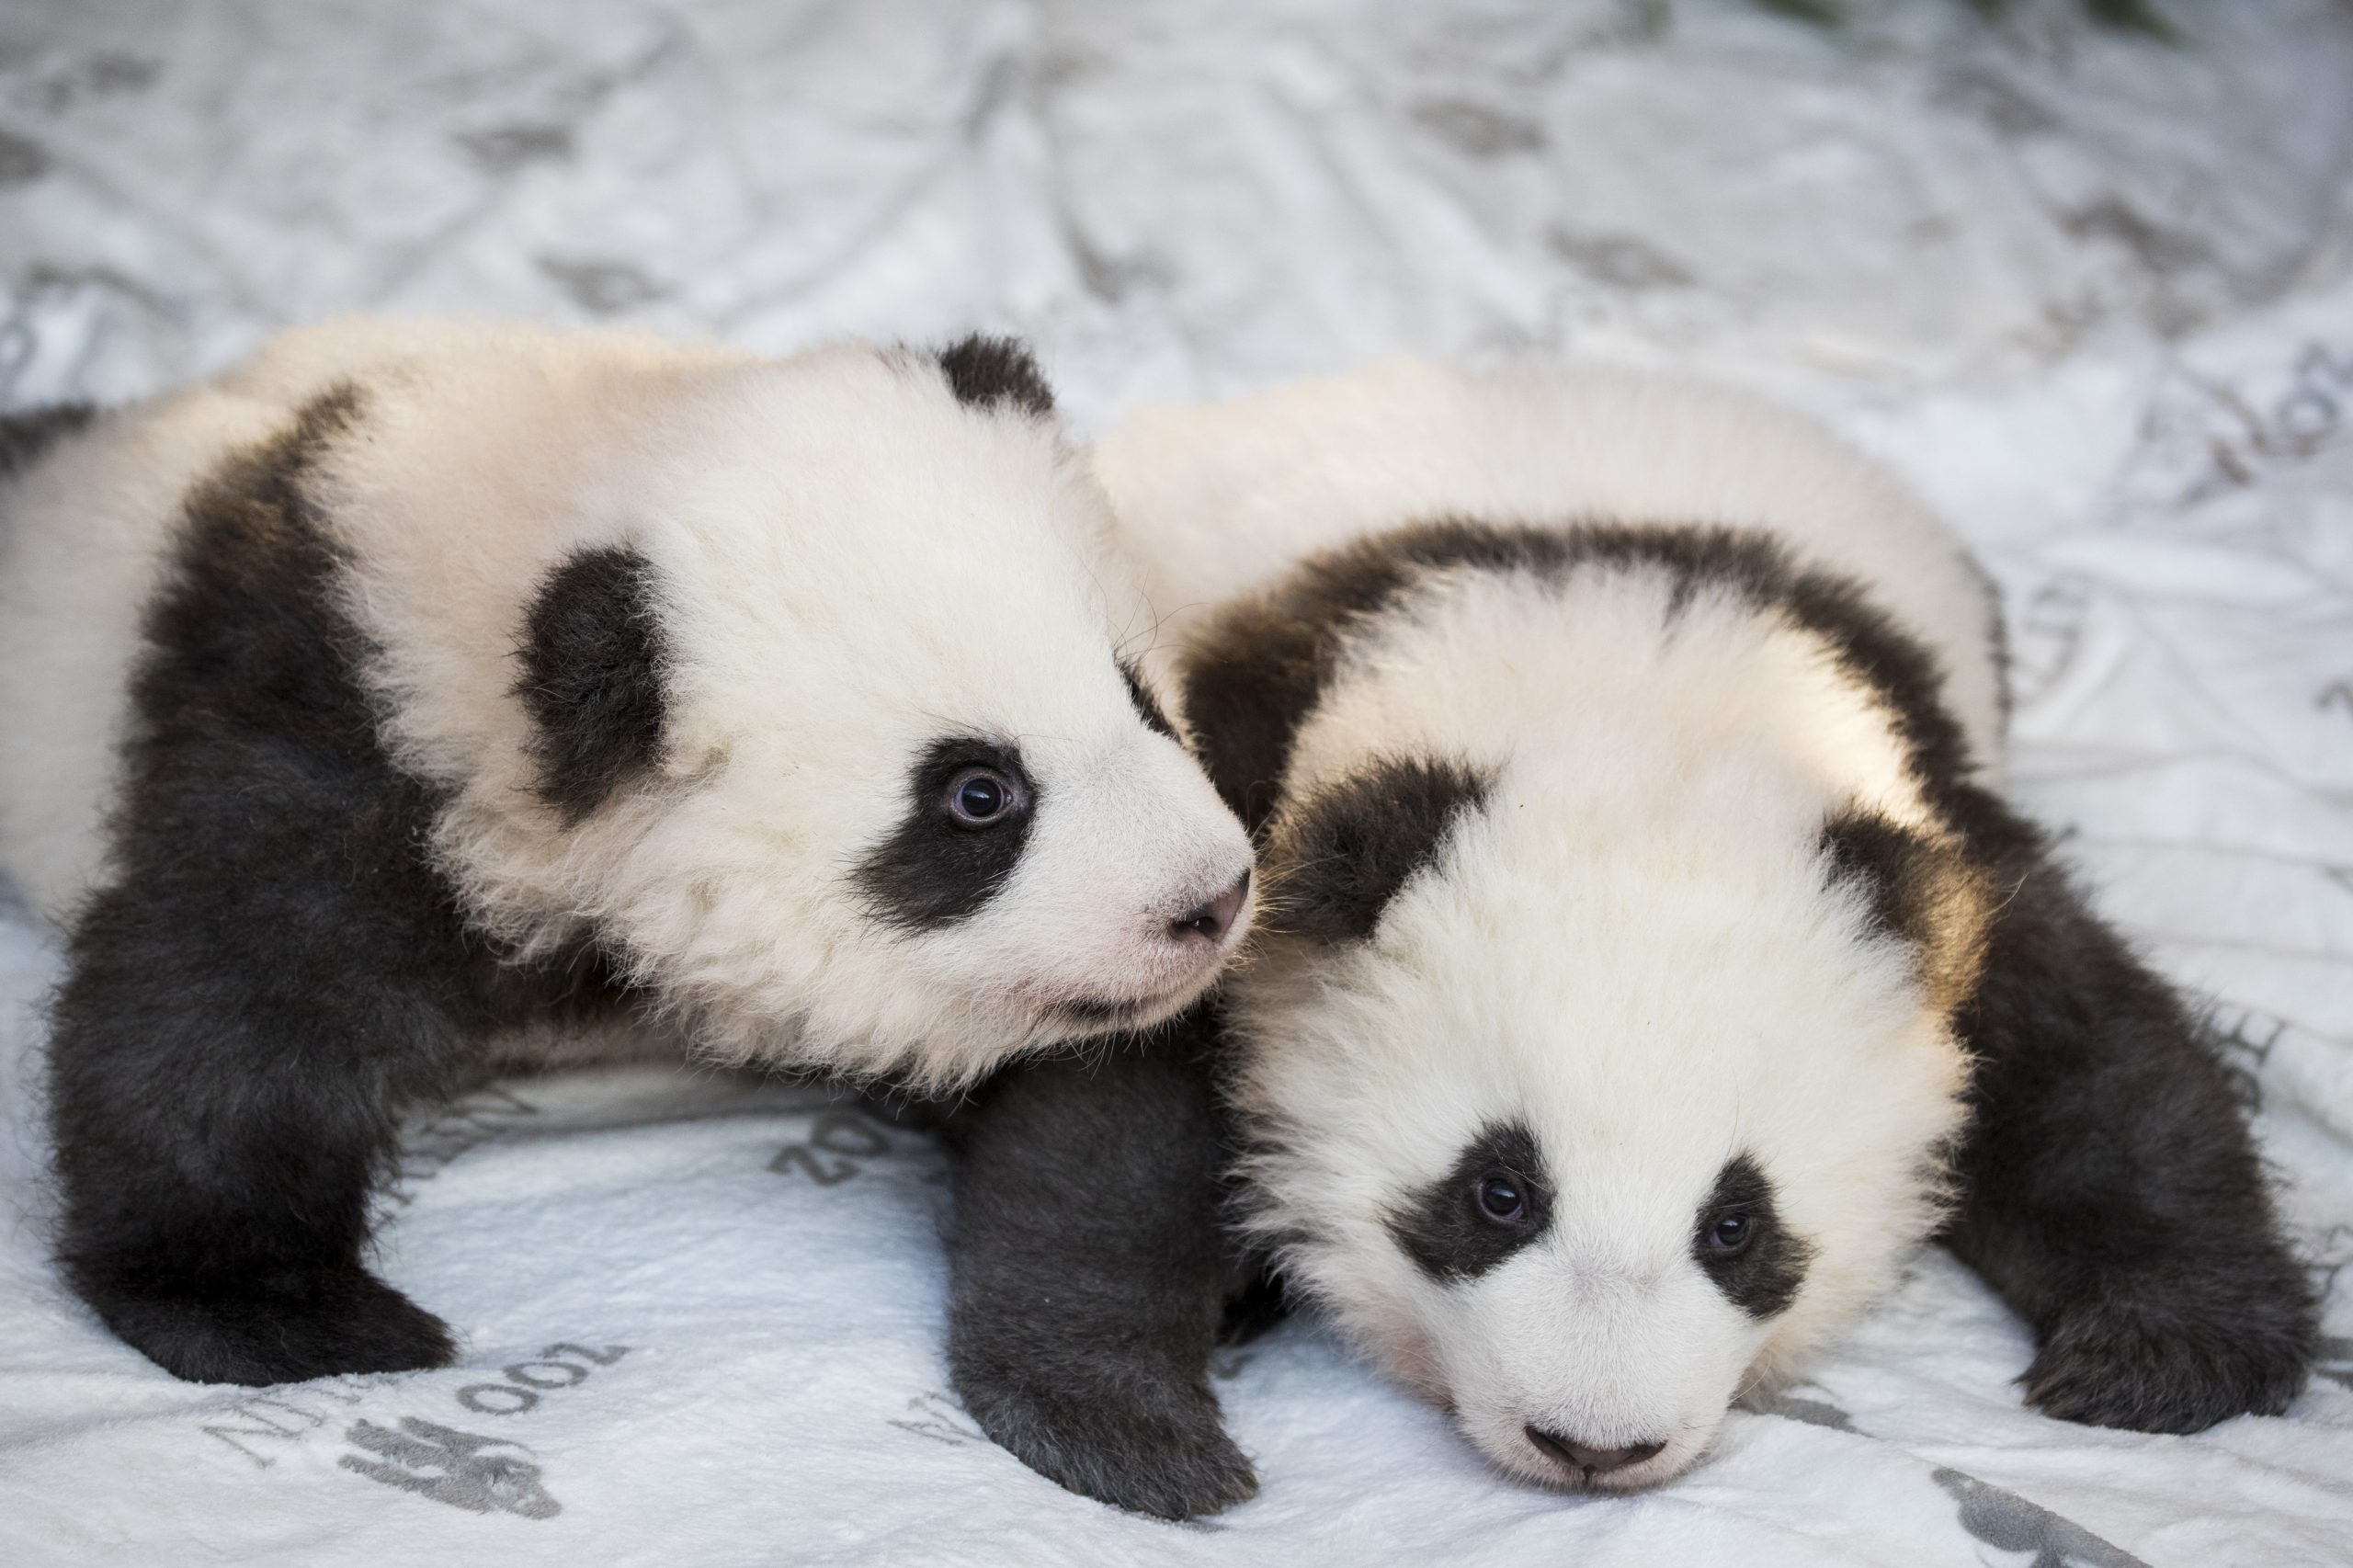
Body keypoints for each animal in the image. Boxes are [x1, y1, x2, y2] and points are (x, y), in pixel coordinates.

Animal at [0, 320, 1258, 1416]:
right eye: (977, 795)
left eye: (1140, 695)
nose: (1209, 900)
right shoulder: (327, 728)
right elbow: (216, 1008)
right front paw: (274, 1310)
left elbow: (1103, 1118)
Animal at [1091, 361, 2316, 1493]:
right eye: (1497, 1194)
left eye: (1737, 1224)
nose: (1591, 1444)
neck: (1634, 679)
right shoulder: (1236, 786)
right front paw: (1136, 1413)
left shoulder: (1929, 850)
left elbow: (2094, 1065)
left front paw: (2164, 1354)